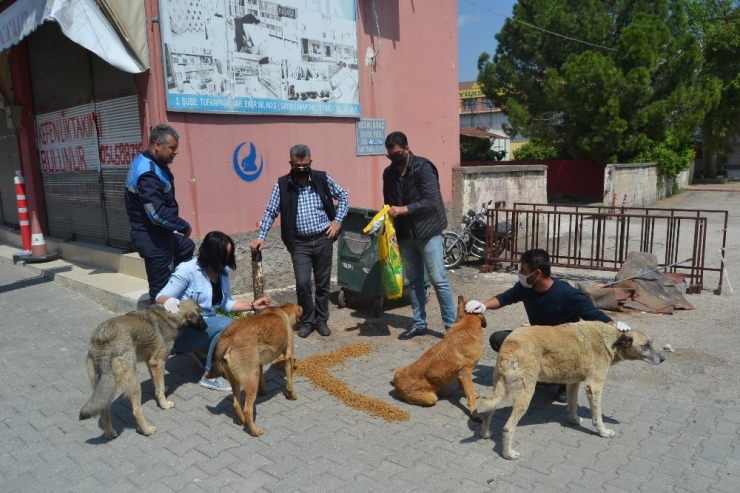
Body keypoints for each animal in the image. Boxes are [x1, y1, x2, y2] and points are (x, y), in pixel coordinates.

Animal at [79, 300, 207, 438]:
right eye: (201, 317)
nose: (207, 327)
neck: (171, 315)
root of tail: (102, 339)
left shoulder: (150, 362)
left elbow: (157, 383)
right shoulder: (159, 362)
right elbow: (160, 387)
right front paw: (164, 404)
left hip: (104, 385)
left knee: (103, 410)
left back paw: (110, 434)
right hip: (133, 380)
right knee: (136, 410)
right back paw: (147, 430)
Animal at [207, 302, 302, 436]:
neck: (281, 310)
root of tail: (227, 338)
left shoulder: (259, 364)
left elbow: (262, 380)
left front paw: (263, 391)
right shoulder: (288, 356)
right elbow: (290, 383)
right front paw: (292, 395)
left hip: (236, 380)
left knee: (236, 404)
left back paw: (241, 421)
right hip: (251, 381)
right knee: (247, 410)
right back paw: (255, 431)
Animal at [476, 320, 668, 460]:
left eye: (651, 344)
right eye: (646, 345)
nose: (663, 359)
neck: (610, 341)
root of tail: (511, 343)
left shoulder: (573, 383)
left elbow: (573, 405)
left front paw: (574, 420)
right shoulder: (594, 386)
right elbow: (598, 417)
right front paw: (603, 432)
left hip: (499, 386)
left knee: (488, 411)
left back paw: (485, 433)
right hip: (525, 393)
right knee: (508, 428)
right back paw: (508, 454)